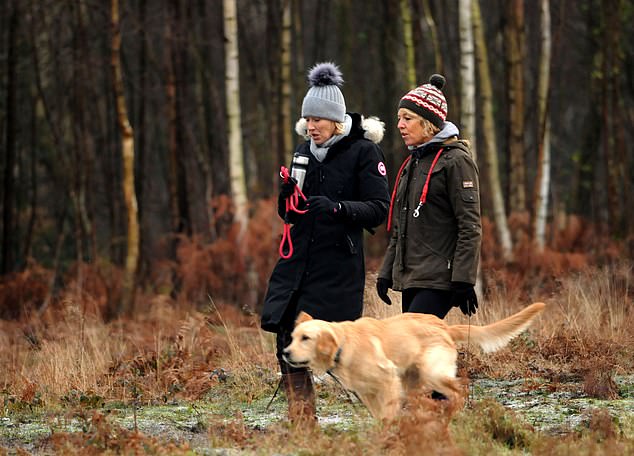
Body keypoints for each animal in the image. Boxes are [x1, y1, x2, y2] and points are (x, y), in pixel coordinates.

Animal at [282, 302, 544, 420]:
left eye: (306, 338)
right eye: (293, 337)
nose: (285, 353)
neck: (344, 345)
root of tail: (444, 326)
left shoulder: (388, 380)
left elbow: (387, 414)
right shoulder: (367, 392)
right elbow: (378, 414)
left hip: (432, 372)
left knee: (459, 390)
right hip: (413, 380)